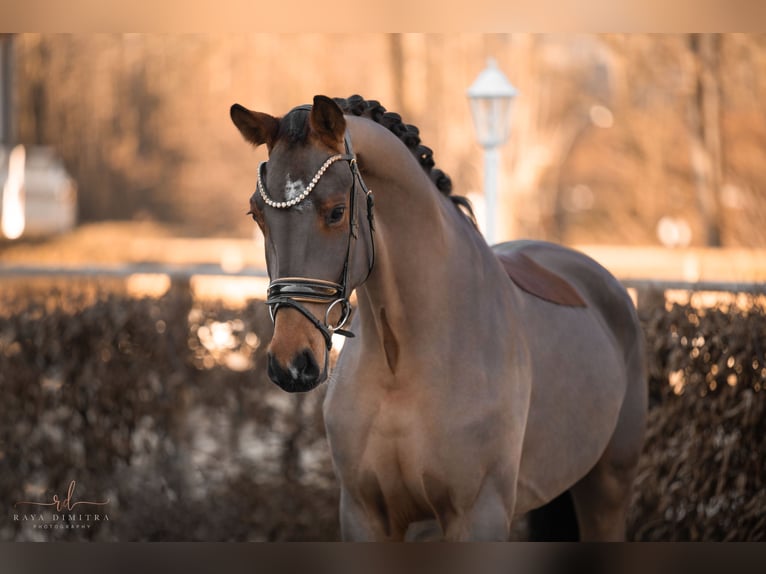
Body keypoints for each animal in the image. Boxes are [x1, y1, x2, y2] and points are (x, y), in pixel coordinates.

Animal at [230, 93, 648, 540]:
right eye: (256, 214)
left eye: (337, 211)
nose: (292, 363)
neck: (402, 363)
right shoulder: (364, 513)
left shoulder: (477, 515)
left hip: (607, 487)